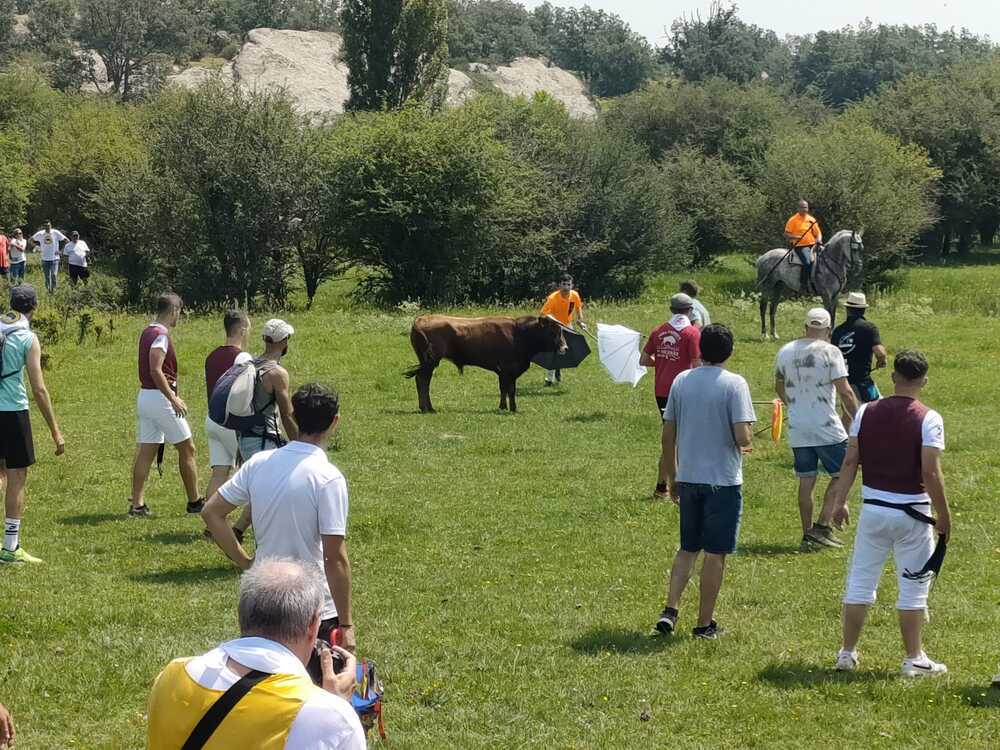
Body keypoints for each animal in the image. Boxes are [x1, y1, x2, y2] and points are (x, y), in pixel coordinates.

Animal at [402, 316, 568, 414]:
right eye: (552, 332)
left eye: (560, 331)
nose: (565, 348)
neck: (519, 334)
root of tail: (421, 319)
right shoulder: (506, 370)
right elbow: (507, 389)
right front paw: (506, 408)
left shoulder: (508, 372)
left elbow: (508, 390)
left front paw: (510, 408)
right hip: (430, 362)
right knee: (422, 380)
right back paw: (427, 408)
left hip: (428, 363)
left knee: (423, 381)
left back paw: (427, 407)